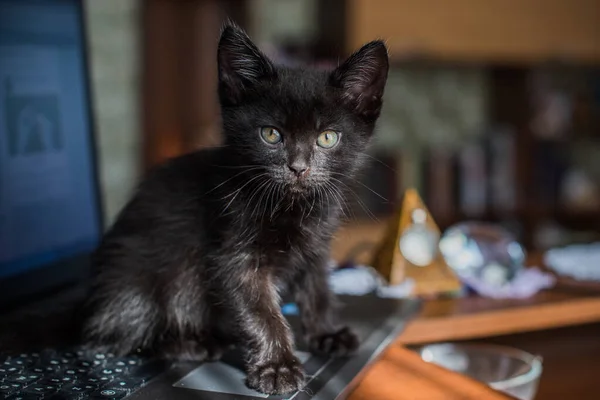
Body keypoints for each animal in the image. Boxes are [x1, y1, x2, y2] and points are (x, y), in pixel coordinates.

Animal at [82, 23, 390, 396]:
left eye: (328, 138)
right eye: (271, 134)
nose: (298, 167)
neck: (291, 206)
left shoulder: (316, 247)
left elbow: (318, 288)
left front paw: (327, 332)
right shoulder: (234, 254)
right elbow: (262, 312)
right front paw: (278, 366)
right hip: (139, 278)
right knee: (121, 331)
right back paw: (192, 342)